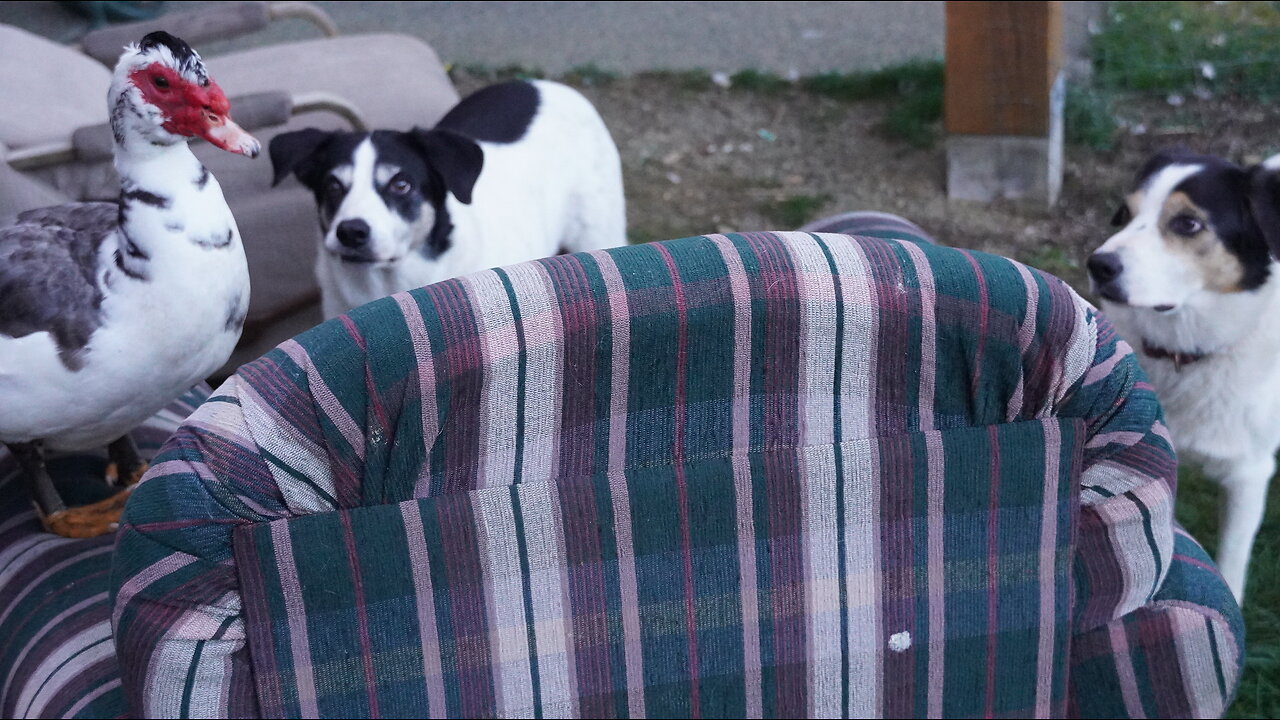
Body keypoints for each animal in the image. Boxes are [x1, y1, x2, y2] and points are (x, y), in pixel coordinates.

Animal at [272, 77, 627, 313]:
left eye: (401, 184)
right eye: (332, 185)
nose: (351, 232)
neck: (392, 282)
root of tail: (549, 84)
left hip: (598, 232)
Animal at [1085, 146, 1280, 599]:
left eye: (1187, 223)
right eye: (1125, 213)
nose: (1097, 265)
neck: (1184, 351)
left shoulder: (1250, 472)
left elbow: (1231, 566)